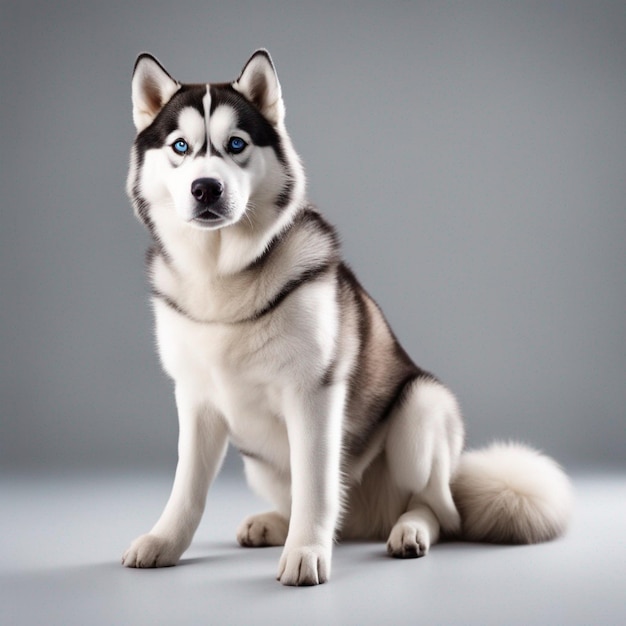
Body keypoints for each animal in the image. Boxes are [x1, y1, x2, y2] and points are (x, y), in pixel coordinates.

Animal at [120, 51, 572, 584]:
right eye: (180, 146)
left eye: (236, 145)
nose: (206, 188)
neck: (224, 275)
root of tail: (366, 520)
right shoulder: (195, 401)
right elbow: (187, 488)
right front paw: (164, 541)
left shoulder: (313, 393)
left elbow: (316, 486)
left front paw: (306, 552)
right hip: (260, 464)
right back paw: (276, 524)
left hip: (422, 409)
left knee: (442, 510)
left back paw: (409, 531)